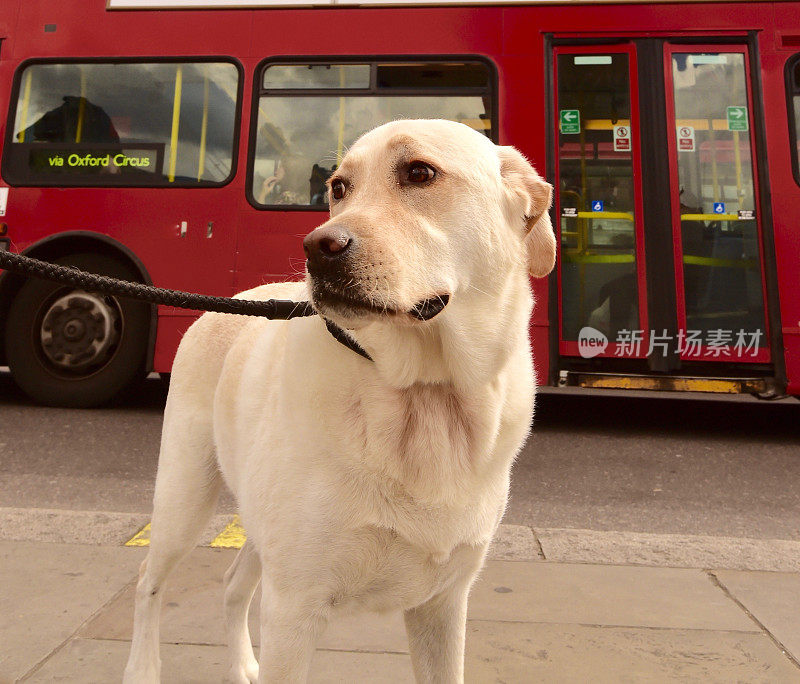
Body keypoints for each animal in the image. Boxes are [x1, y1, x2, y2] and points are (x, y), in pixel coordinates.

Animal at [123, 120, 556, 680]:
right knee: (147, 580)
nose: (317, 247)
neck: (426, 391)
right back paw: (142, 668)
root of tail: (236, 298)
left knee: (233, 583)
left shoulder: (443, 605)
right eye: (339, 188)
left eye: (420, 173)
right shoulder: (294, 607)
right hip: (185, 493)